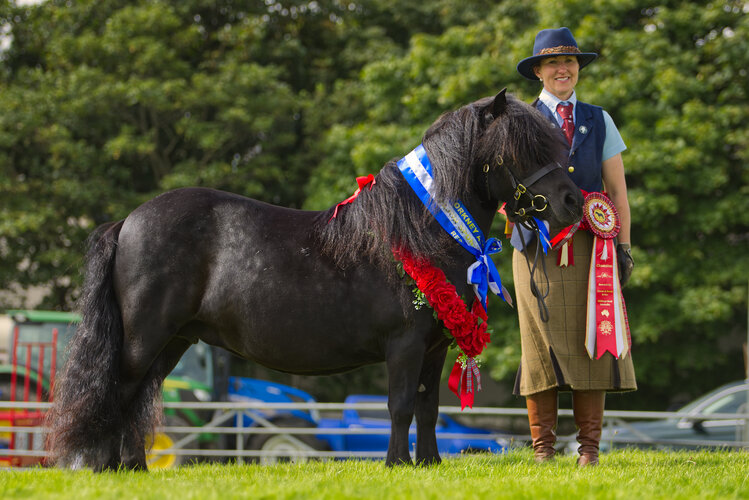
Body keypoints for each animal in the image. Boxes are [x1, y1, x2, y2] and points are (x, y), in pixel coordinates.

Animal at [48, 90, 584, 468]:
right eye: (519, 149)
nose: (571, 203)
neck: (420, 228)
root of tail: (128, 222)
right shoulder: (405, 344)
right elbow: (400, 405)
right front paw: (396, 464)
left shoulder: (434, 347)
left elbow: (428, 407)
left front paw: (428, 464)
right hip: (145, 337)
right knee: (120, 393)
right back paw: (110, 469)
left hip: (173, 340)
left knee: (138, 397)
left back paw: (134, 468)